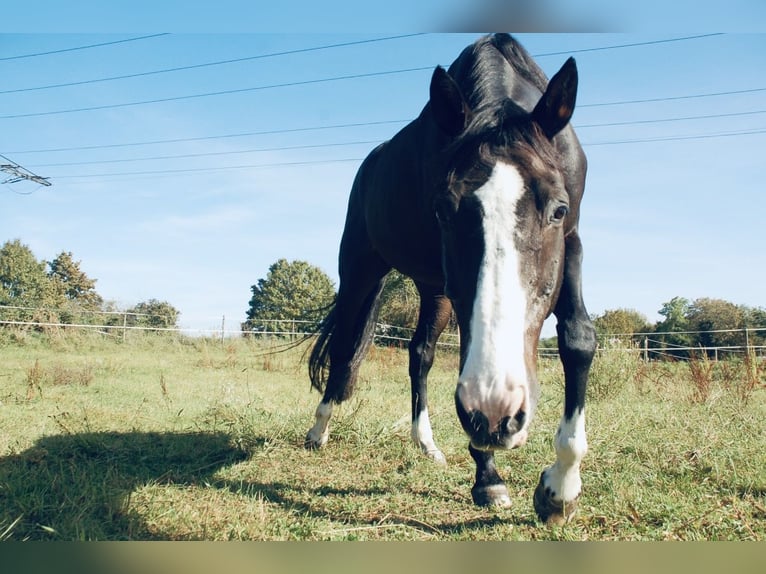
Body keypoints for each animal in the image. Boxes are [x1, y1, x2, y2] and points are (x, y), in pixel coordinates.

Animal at [304, 32, 596, 528]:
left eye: (557, 210)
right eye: (442, 210)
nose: (498, 413)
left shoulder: (572, 242)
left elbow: (578, 340)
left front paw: (560, 489)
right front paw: (489, 477)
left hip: (434, 288)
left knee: (419, 354)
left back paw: (427, 443)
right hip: (360, 267)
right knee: (344, 347)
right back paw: (319, 429)